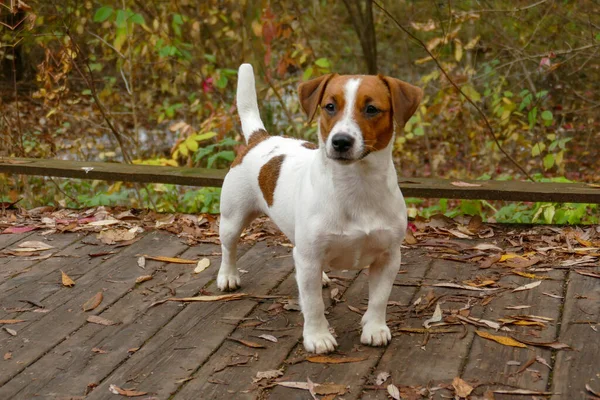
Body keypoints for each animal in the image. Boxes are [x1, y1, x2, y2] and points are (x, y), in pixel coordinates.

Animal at [217, 63, 422, 354]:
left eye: (371, 109)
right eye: (329, 107)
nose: (341, 141)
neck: (355, 186)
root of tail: (261, 138)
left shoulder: (389, 257)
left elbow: (380, 298)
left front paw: (374, 327)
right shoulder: (308, 258)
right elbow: (314, 304)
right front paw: (317, 336)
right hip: (232, 219)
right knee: (229, 247)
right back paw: (228, 275)